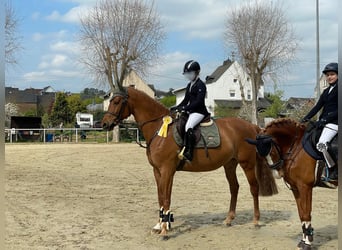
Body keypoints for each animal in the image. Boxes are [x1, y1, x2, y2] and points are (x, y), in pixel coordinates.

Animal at [101, 87, 278, 238]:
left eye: (117, 101)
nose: (104, 124)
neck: (159, 129)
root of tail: (251, 126)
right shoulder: (158, 171)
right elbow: (162, 196)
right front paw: (160, 225)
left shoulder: (166, 170)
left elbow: (165, 197)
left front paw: (165, 230)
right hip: (230, 164)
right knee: (234, 188)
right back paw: (229, 219)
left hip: (247, 163)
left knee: (254, 188)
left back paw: (256, 221)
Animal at [246, 118, 336, 249]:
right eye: (260, 155)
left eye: (272, 151)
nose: (278, 174)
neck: (296, 147)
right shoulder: (296, 188)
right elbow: (301, 214)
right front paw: (303, 241)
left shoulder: (305, 187)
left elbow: (306, 214)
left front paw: (308, 243)